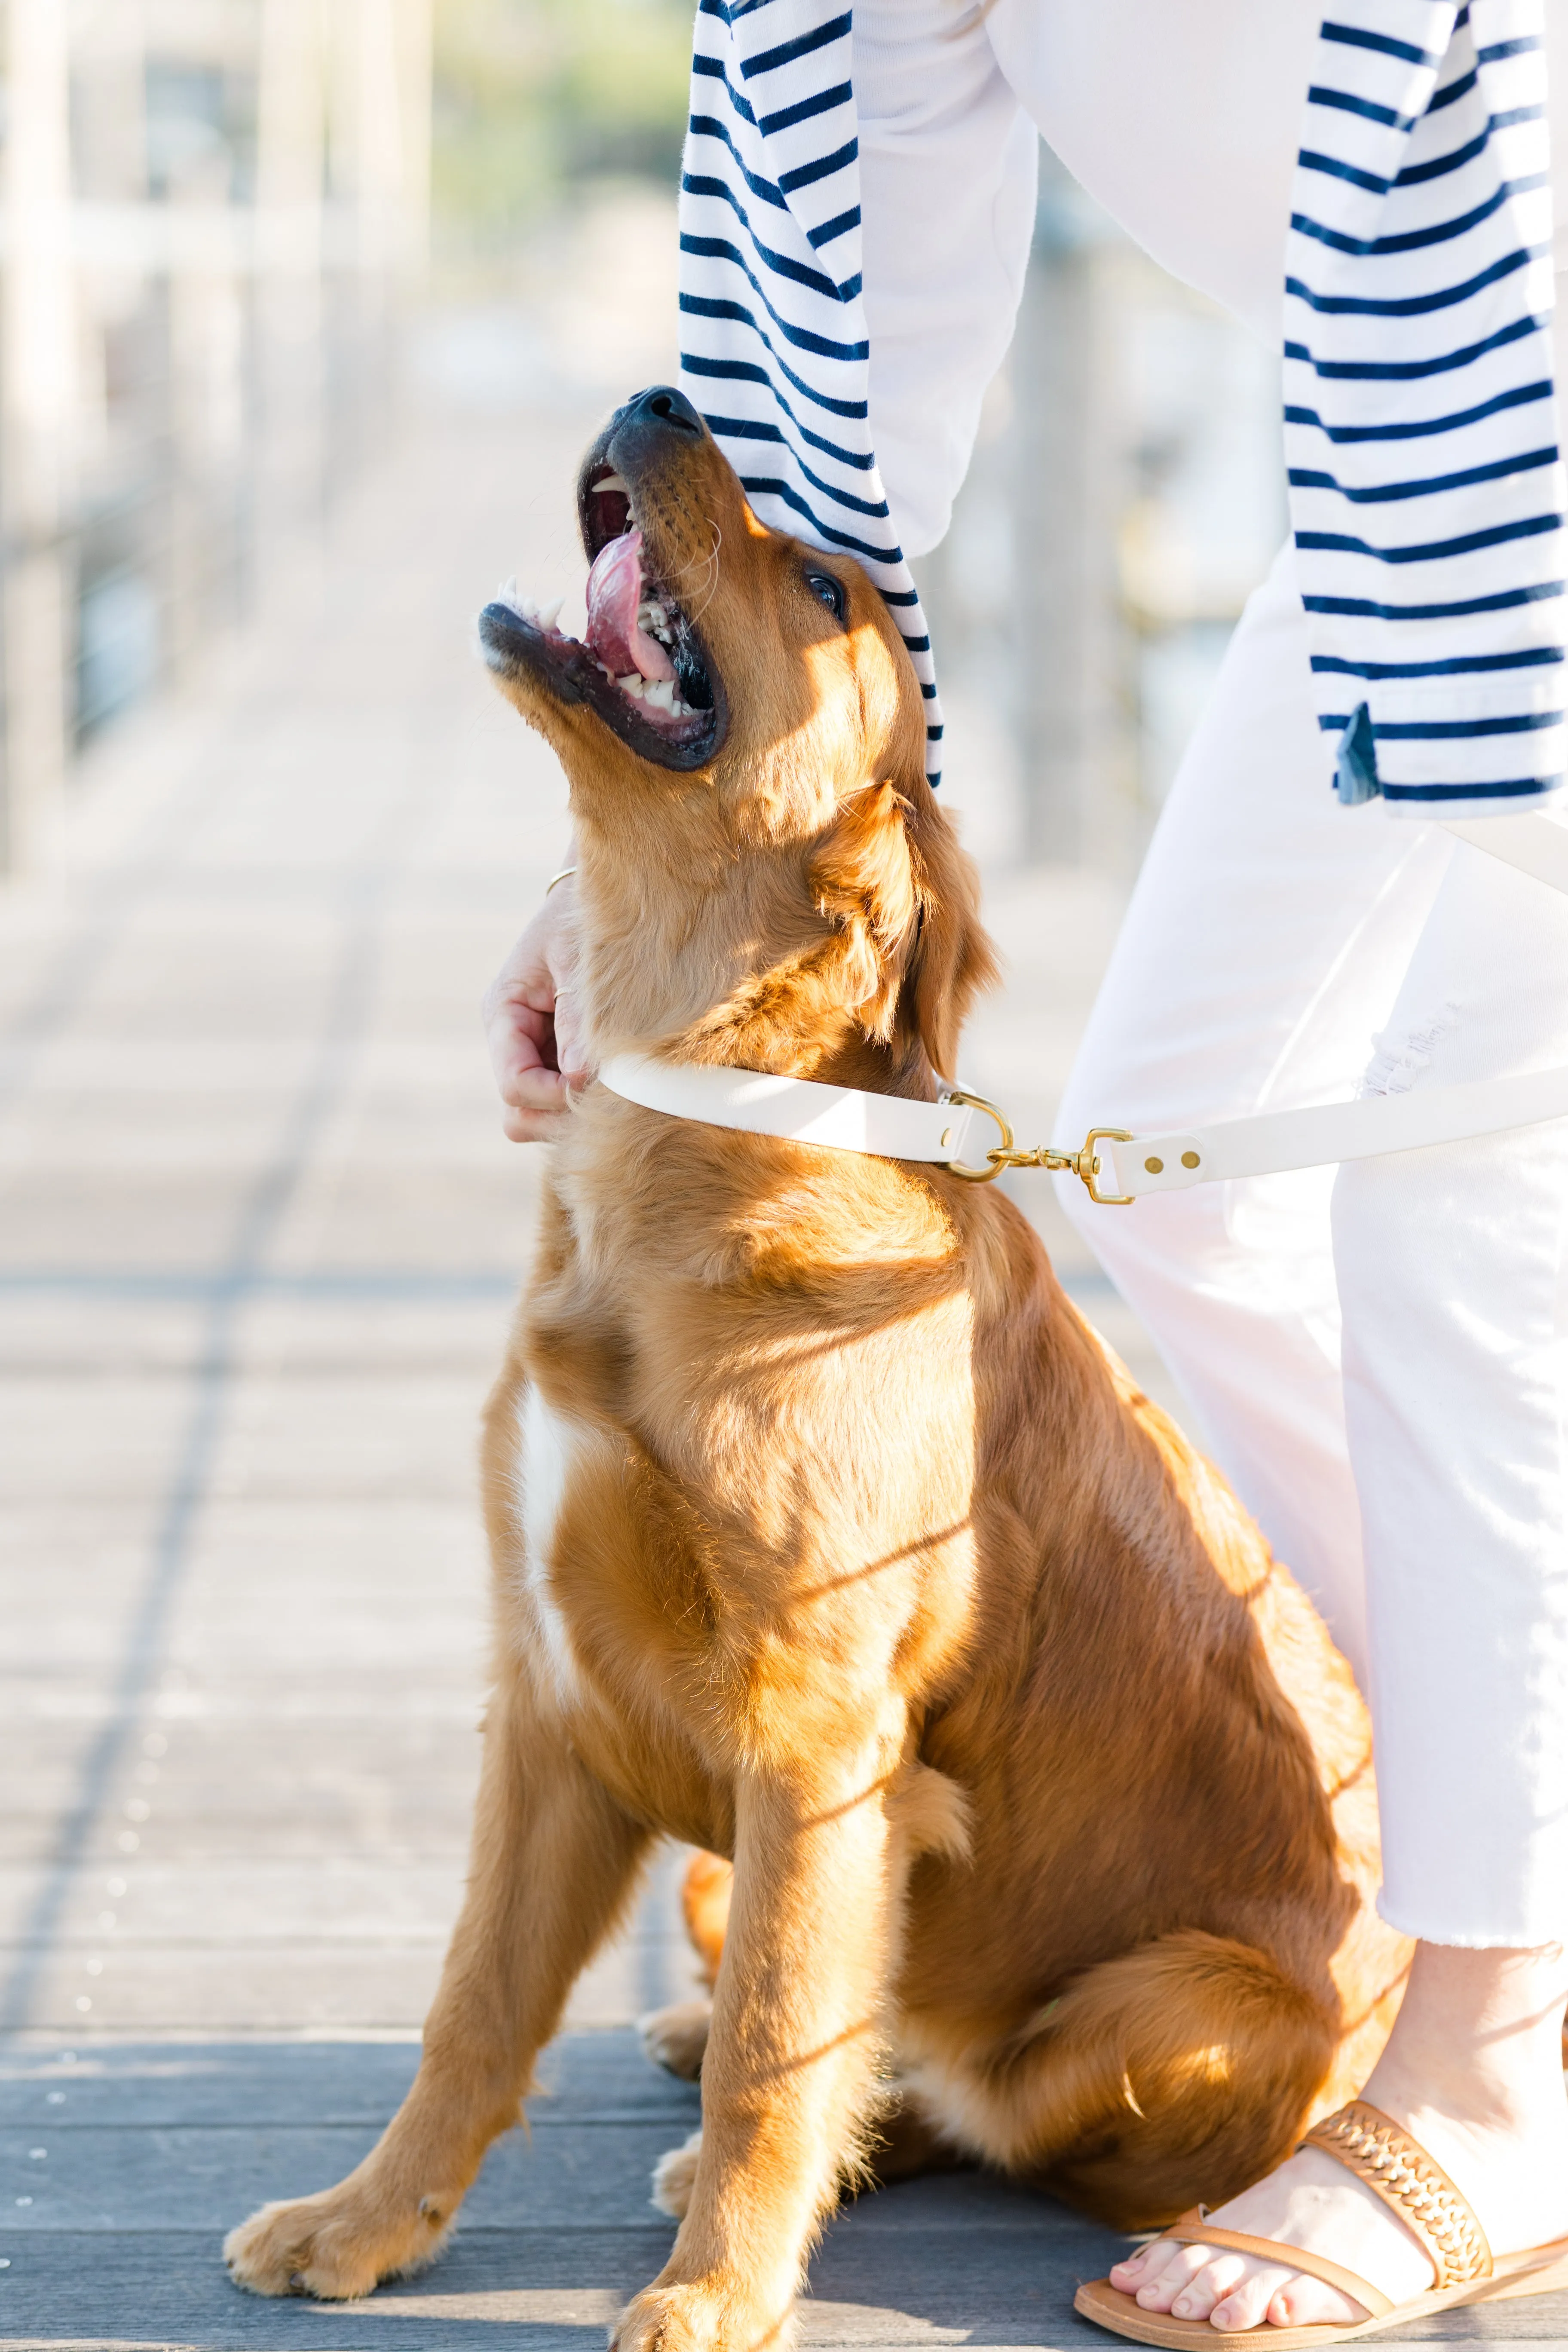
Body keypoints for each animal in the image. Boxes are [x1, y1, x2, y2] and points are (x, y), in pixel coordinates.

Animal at [227, 390, 1420, 2352]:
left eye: (815, 587)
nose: (659, 399)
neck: (694, 1102)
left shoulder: (820, 1735)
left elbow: (781, 2048)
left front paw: (715, 2289)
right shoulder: (541, 1695)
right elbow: (474, 2004)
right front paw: (367, 2220)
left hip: (1157, 2005)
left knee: (979, 2098)